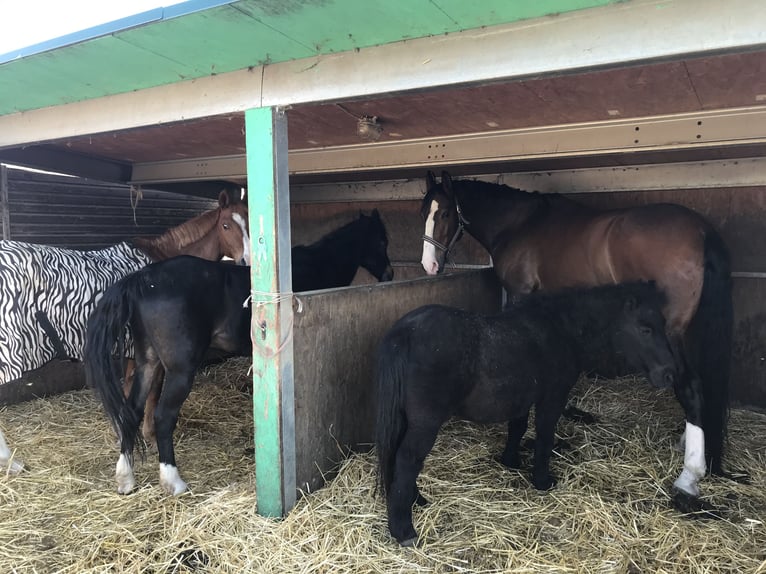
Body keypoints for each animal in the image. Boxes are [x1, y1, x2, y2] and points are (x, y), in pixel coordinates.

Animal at [84, 256, 252, 496]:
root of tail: (141, 279)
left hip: (148, 362)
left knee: (131, 413)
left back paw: (126, 479)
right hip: (180, 371)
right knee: (163, 416)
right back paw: (173, 481)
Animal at [376, 284, 684, 548]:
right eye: (645, 329)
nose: (671, 374)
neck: (561, 330)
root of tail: (405, 332)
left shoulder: (522, 398)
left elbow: (518, 428)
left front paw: (511, 461)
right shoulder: (552, 398)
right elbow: (544, 437)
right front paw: (542, 481)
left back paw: (415, 500)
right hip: (425, 424)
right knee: (408, 459)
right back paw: (403, 529)